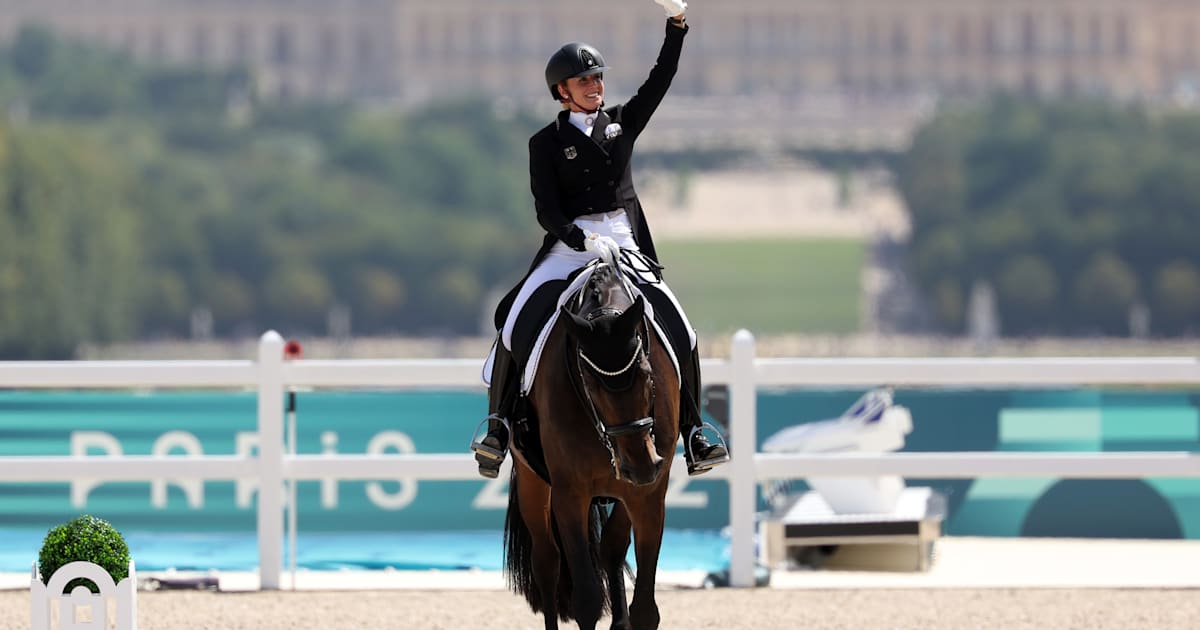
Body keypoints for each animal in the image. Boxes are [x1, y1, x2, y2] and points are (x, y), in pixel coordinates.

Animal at [501, 258, 681, 624]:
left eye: (647, 374)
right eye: (590, 383)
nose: (640, 464)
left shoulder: (649, 494)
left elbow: (645, 608)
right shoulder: (570, 493)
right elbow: (586, 598)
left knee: (610, 547)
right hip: (532, 480)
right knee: (547, 561)